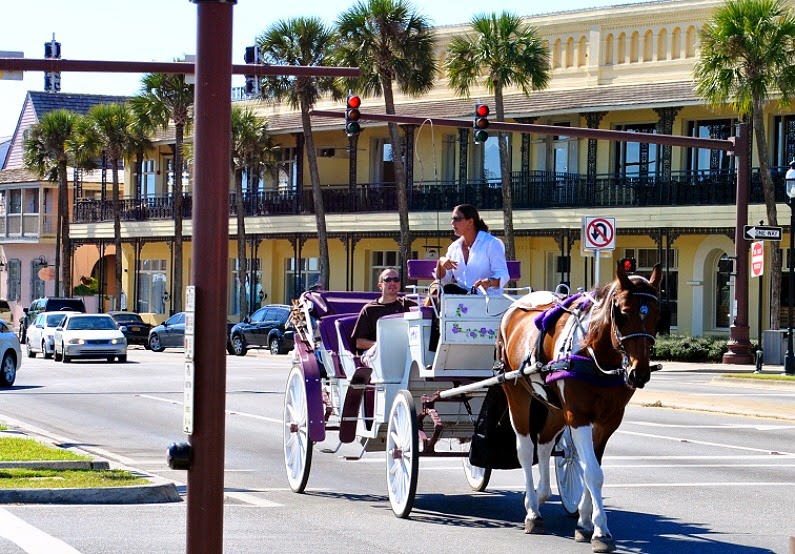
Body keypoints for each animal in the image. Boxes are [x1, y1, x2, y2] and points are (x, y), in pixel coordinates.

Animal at [498, 260, 664, 548]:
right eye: (622, 313)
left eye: (656, 315)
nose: (639, 373)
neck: (595, 354)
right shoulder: (578, 416)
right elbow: (593, 473)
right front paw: (601, 531)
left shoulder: (608, 420)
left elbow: (590, 469)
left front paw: (586, 522)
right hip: (516, 392)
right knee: (526, 449)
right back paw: (532, 511)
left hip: (555, 407)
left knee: (544, 444)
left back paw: (540, 495)